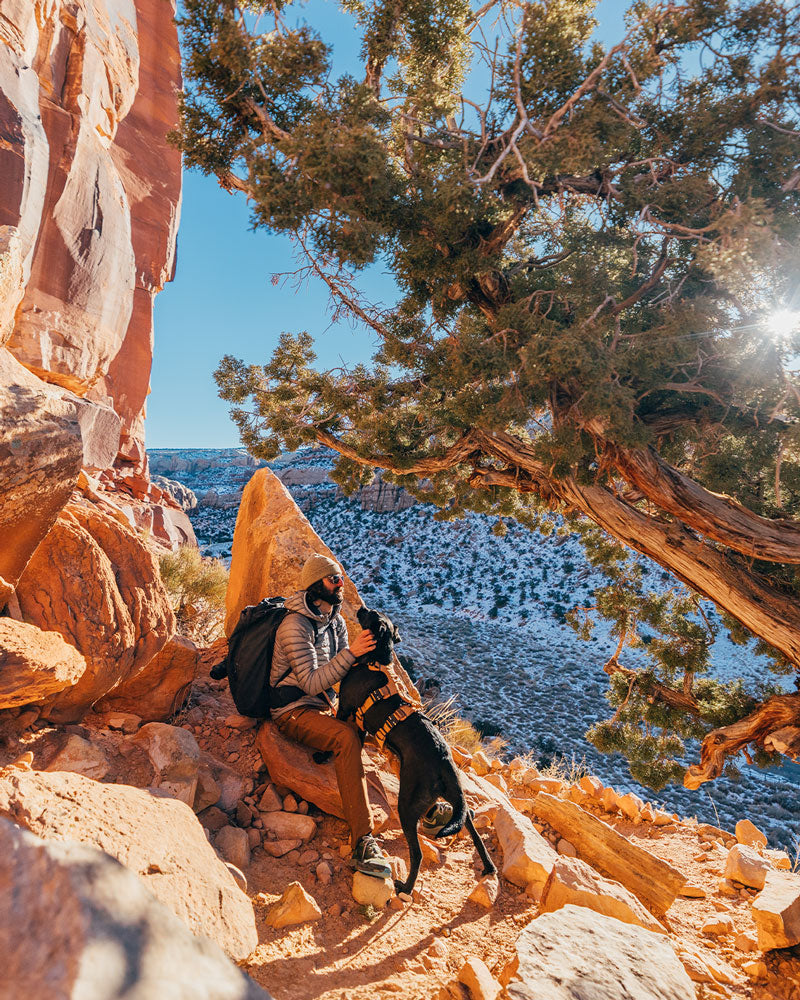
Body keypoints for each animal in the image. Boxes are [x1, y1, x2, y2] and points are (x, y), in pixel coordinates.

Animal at [336, 604, 496, 896]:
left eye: (371, 613)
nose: (361, 607)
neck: (374, 659)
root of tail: (444, 761)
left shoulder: (346, 706)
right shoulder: (361, 723)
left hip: (408, 806)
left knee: (418, 853)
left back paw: (406, 887)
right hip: (457, 799)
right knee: (473, 830)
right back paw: (489, 867)